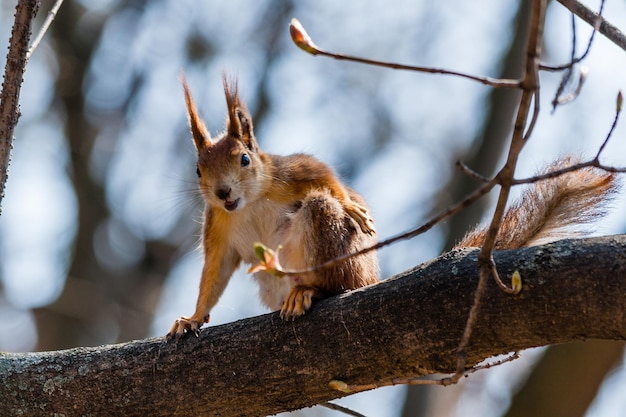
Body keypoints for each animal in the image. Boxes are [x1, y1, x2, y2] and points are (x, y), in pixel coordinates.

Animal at [165, 76, 616, 340]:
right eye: (198, 168)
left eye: (244, 158)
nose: (223, 192)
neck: (248, 203)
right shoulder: (218, 228)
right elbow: (214, 273)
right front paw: (192, 318)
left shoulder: (290, 172)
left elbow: (326, 177)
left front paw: (355, 209)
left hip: (333, 242)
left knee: (336, 270)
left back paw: (310, 290)